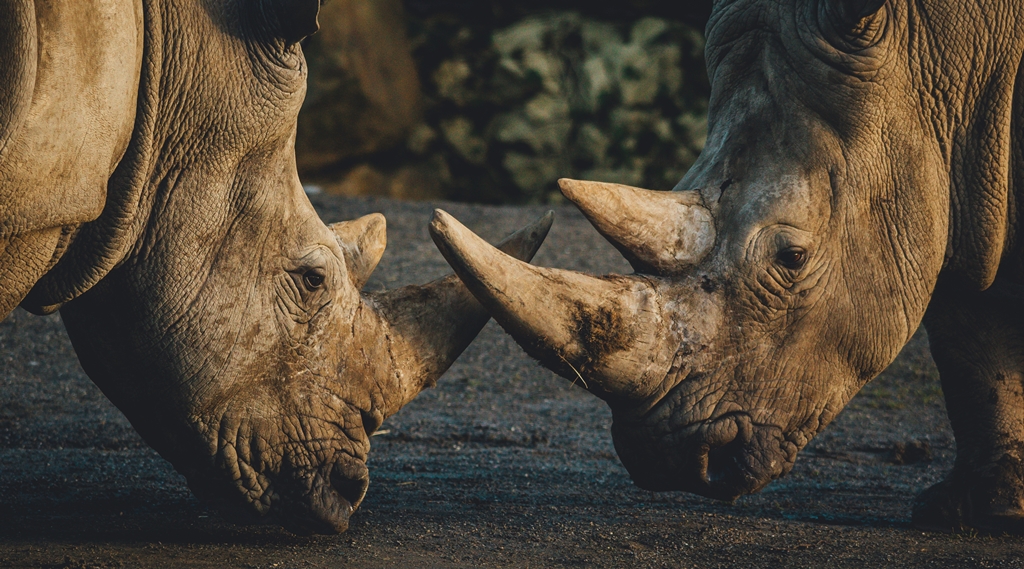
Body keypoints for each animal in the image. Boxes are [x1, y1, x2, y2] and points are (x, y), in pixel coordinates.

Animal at [429, 0, 1024, 533]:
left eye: (792, 258)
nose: (668, 461)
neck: (940, 58)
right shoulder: (959, 188)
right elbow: (971, 341)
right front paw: (979, 510)